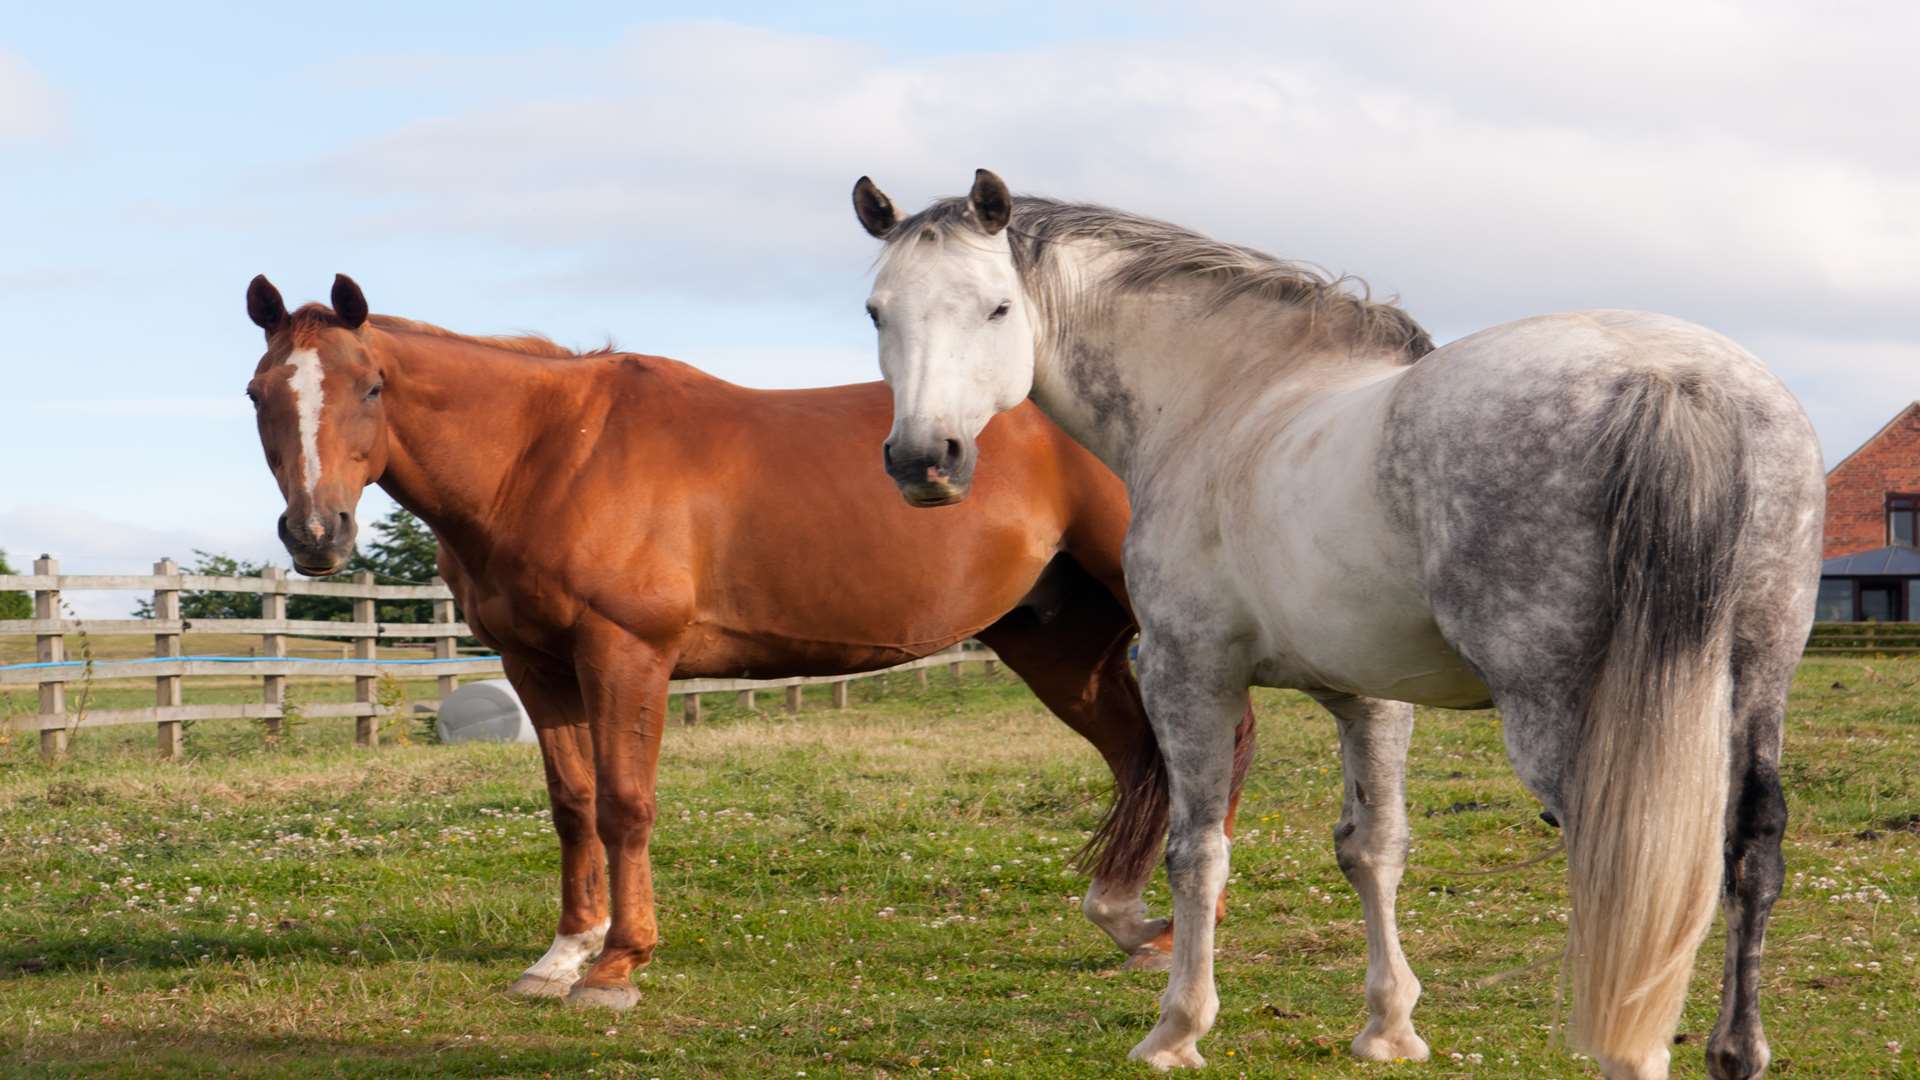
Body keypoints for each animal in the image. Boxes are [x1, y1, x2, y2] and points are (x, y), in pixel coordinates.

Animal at [240, 272, 1259, 1006]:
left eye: (373, 385)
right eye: (256, 393)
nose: (317, 533)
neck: (548, 451)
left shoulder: (625, 654)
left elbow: (625, 805)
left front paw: (618, 965)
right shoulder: (536, 666)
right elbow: (572, 804)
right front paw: (561, 956)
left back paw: (1187, 926)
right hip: (1060, 643)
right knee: (1140, 756)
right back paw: (1134, 924)